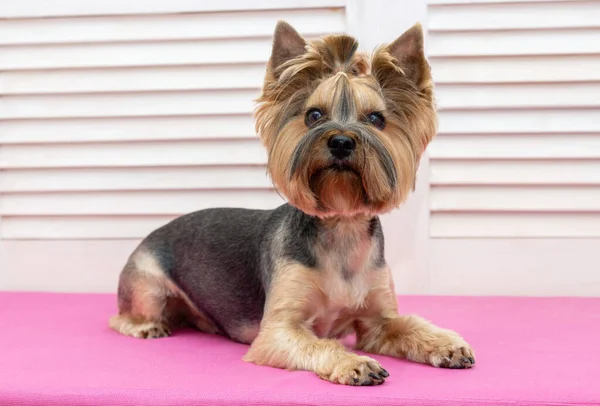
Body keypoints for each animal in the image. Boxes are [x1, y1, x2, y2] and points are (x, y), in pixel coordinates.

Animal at [110, 19, 476, 386]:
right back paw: (147, 327)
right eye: (313, 115)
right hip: (148, 286)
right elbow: (318, 343)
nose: (341, 141)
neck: (342, 226)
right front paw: (354, 363)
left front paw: (447, 343)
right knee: (124, 317)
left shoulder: (377, 322)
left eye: (376, 119)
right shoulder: (278, 331)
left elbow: (408, 324)